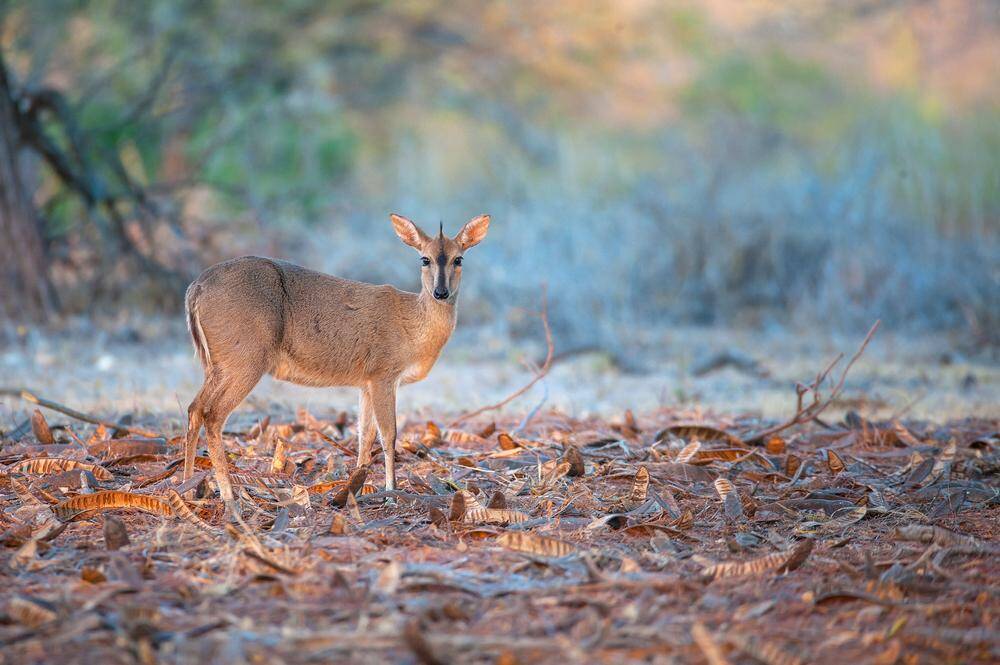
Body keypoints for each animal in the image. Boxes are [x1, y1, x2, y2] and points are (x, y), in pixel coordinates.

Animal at [182, 213, 490, 518]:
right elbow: (389, 435)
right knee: (213, 414)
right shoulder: (384, 373)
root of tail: (195, 288)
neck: (413, 327)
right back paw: (230, 499)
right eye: (424, 259)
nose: (441, 292)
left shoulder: (365, 382)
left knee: (194, 408)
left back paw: (188, 488)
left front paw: (355, 490)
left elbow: (364, 435)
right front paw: (390, 495)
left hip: (217, 365)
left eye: (459, 259)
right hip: (245, 359)